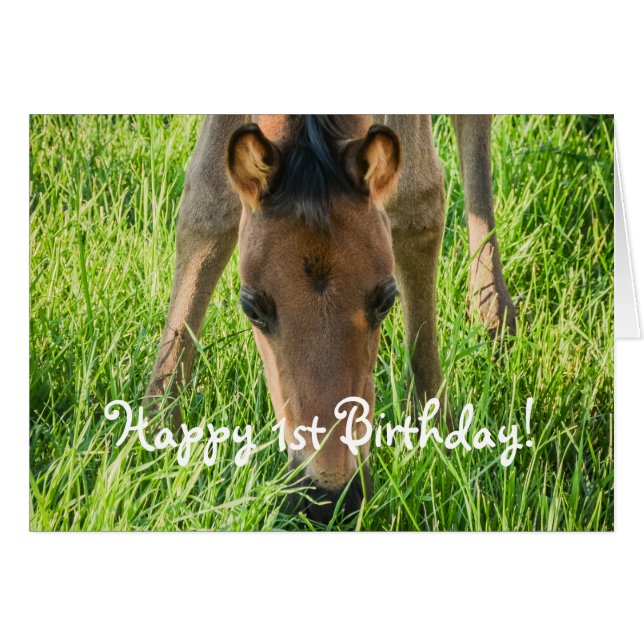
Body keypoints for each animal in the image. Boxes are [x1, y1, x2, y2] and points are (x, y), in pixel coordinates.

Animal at [144, 115, 516, 523]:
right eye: (252, 308)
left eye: (387, 300)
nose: (328, 497)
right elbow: (208, 200)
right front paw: (156, 429)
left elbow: (418, 197)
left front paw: (435, 432)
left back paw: (494, 313)